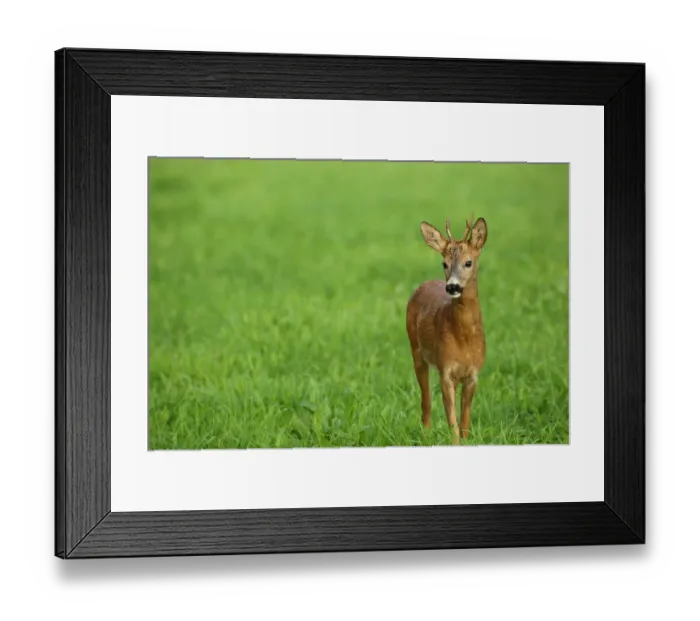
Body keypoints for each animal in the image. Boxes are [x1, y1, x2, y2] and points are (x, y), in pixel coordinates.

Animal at [406, 214, 488, 445]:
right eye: (444, 263)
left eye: (468, 262)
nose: (452, 287)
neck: (464, 338)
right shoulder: (446, 370)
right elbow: (453, 422)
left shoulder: (473, 374)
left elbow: (465, 420)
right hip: (416, 351)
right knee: (425, 401)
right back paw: (425, 435)